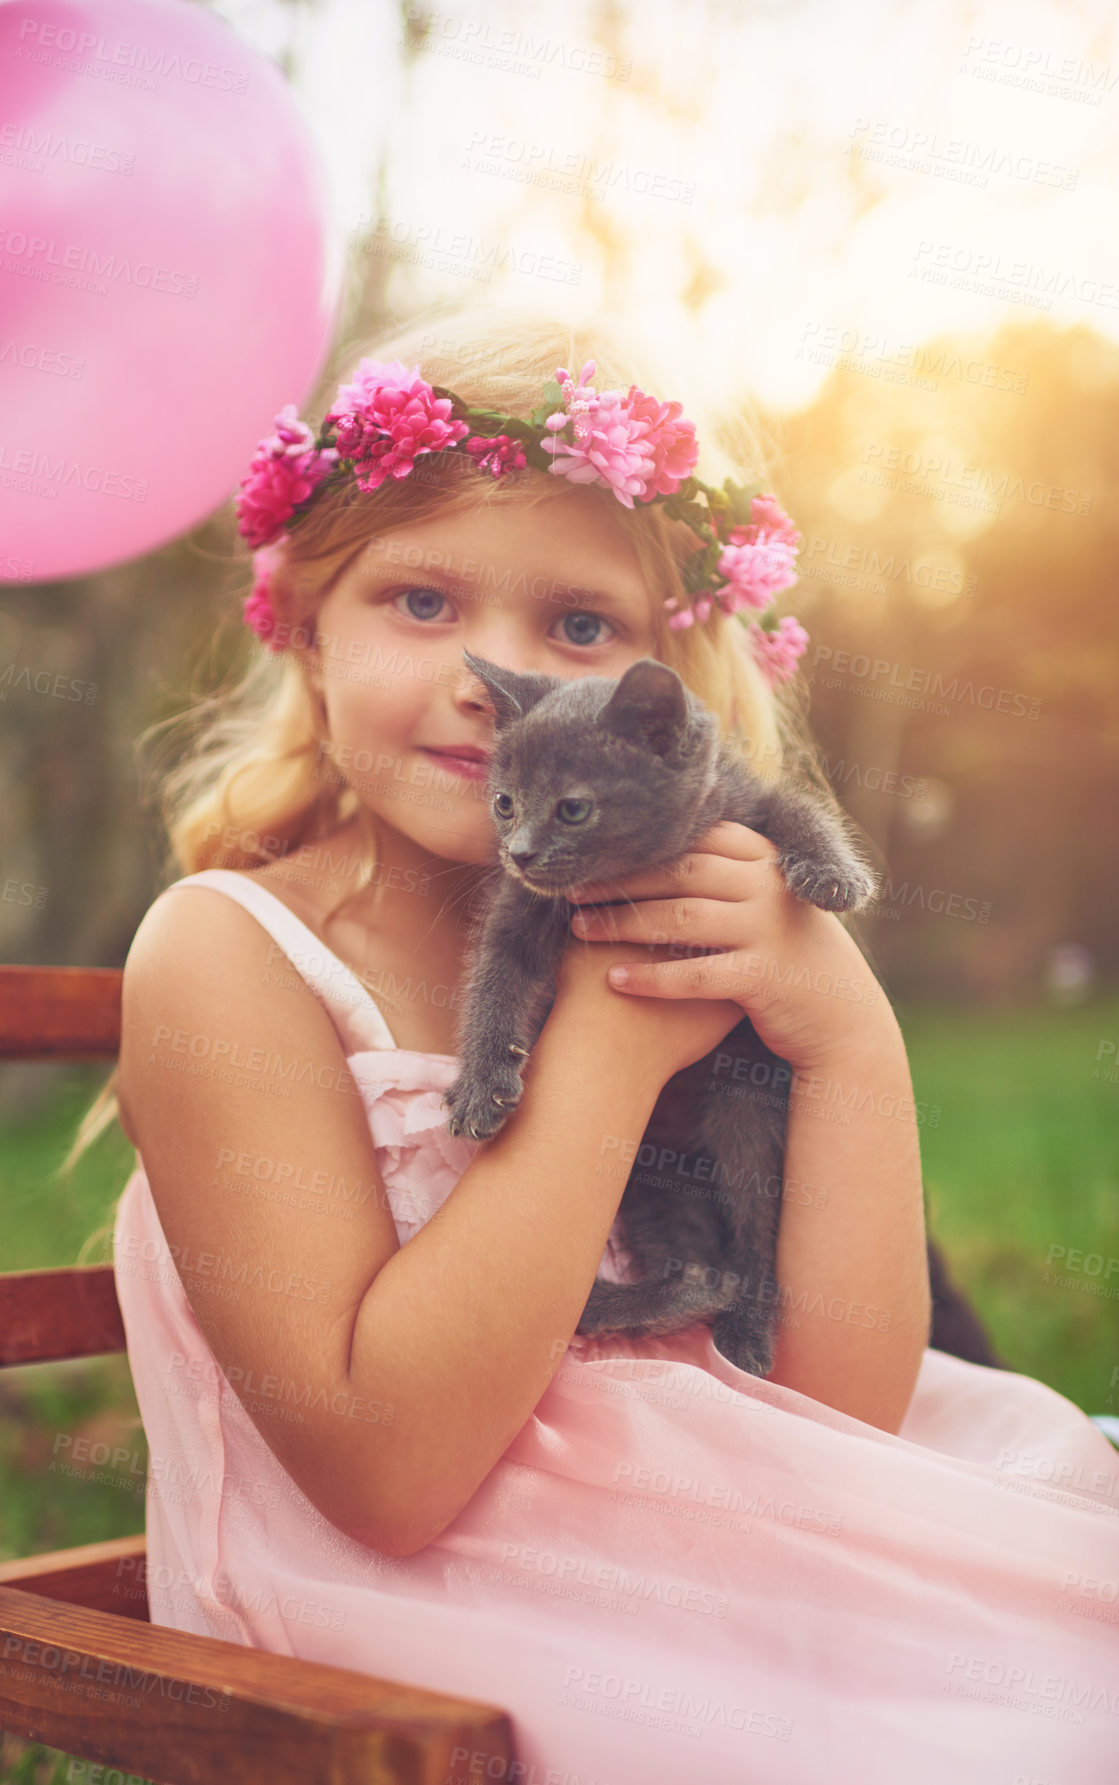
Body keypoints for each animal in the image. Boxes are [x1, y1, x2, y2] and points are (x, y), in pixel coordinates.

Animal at [442, 649, 881, 1370]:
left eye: (572, 808)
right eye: (503, 802)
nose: (519, 851)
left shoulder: (742, 802)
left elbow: (797, 808)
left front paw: (833, 875)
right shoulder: (519, 907)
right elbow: (494, 982)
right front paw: (480, 1086)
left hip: (744, 1111)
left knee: (755, 1232)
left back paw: (745, 1333)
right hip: (646, 1176)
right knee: (693, 1265)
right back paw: (637, 1302)